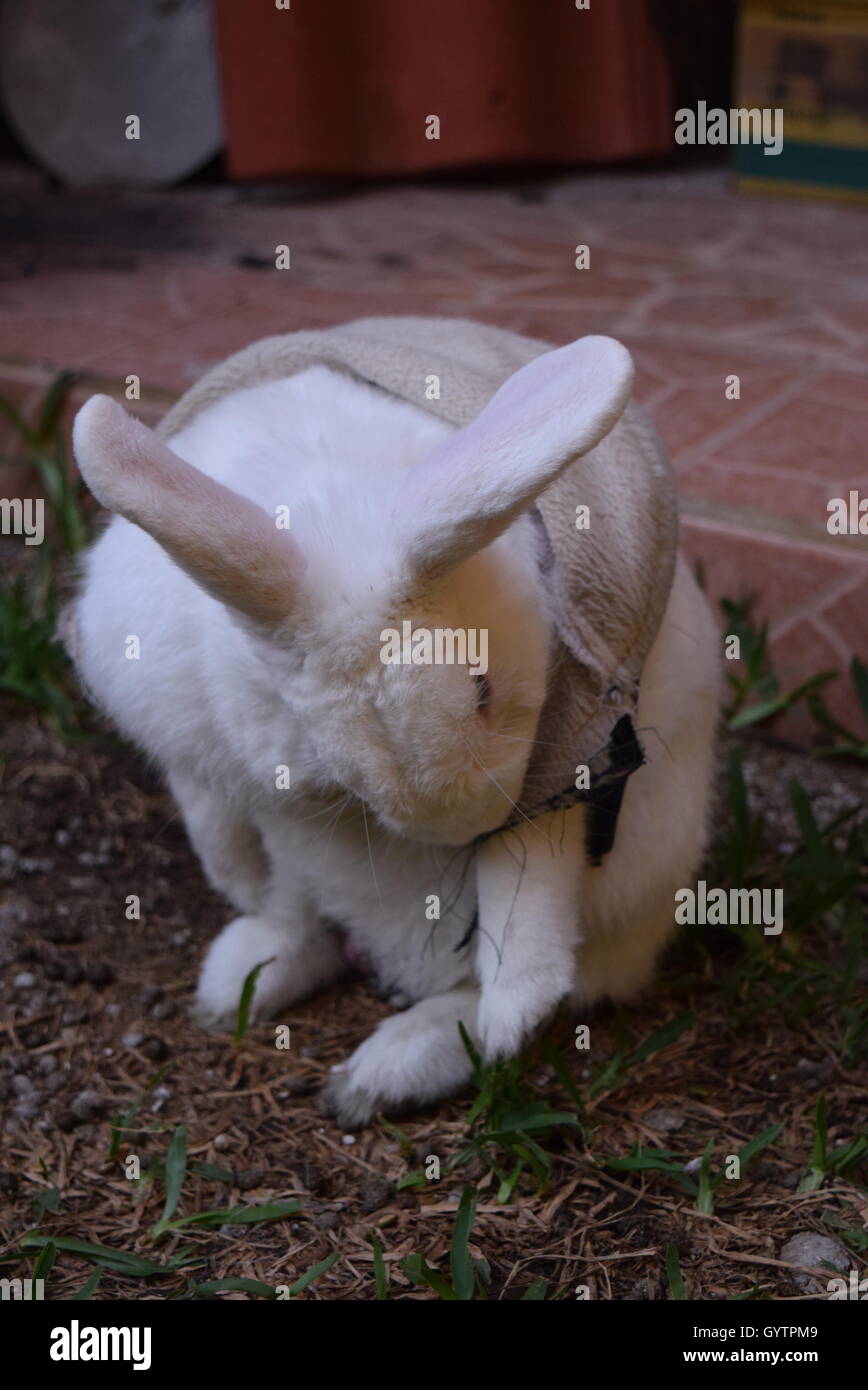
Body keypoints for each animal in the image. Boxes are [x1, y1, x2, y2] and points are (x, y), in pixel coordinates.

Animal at [68, 329, 720, 1127]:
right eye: (318, 733)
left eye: (482, 686)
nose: (463, 826)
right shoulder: (206, 762)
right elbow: (229, 839)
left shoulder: (573, 758)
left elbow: (533, 884)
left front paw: (511, 1012)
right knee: (297, 910)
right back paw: (243, 983)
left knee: (558, 974)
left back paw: (388, 1069)